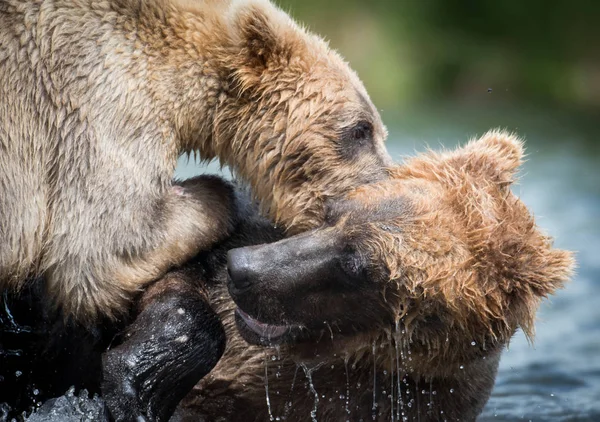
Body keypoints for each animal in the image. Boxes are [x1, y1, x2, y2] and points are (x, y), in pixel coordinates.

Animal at [0, 0, 390, 324]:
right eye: (360, 129)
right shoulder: (101, 96)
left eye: (379, 130)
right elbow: (108, 246)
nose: (378, 191)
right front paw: (217, 192)